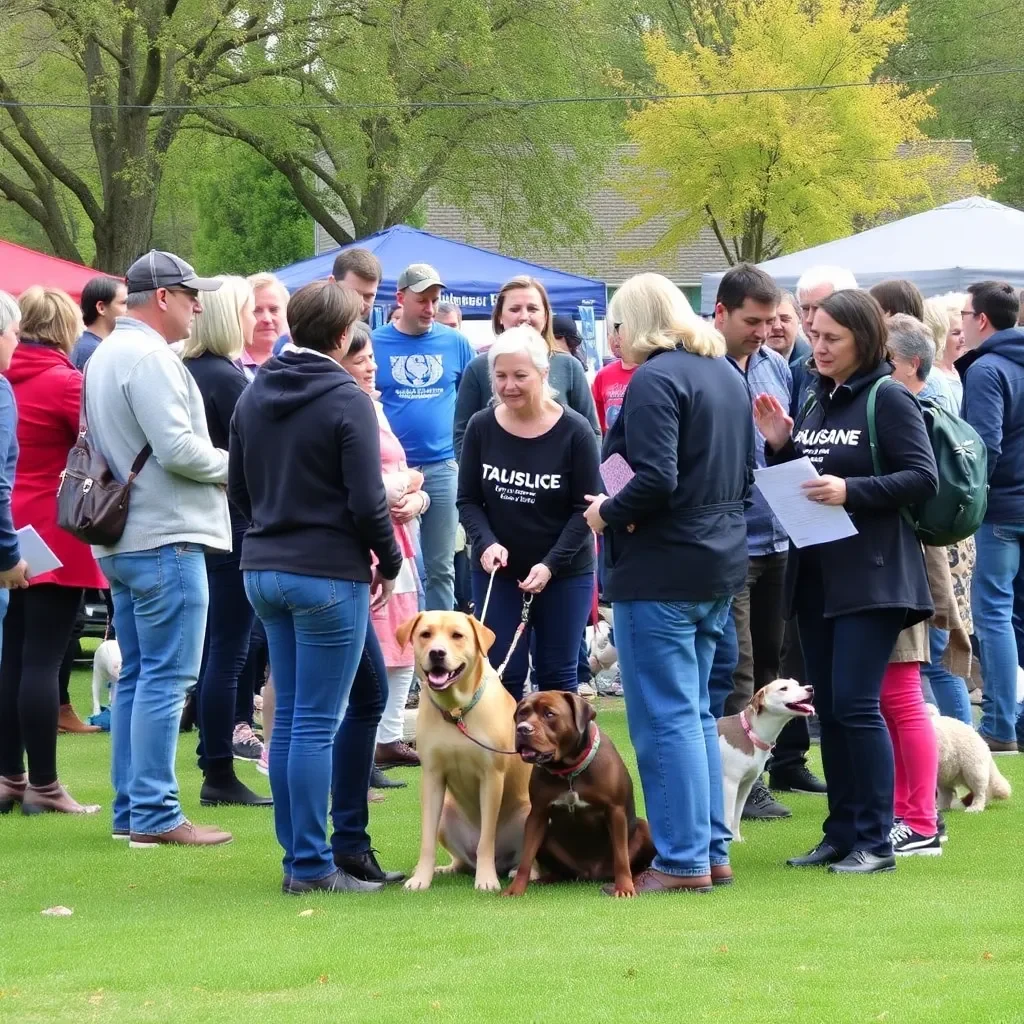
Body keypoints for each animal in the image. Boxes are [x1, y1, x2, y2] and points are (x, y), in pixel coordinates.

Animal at [395, 610, 532, 892]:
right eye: (425, 634)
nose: (437, 652)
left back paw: (519, 871)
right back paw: (448, 868)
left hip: (528, 813)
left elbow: (486, 840)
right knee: (462, 859)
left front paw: (486, 879)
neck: (457, 711)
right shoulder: (433, 776)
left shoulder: (492, 777)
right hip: (447, 815)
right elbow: (426, 840)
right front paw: (421, 878)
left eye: (457, 635)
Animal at [503, 688, 655, 897]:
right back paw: (546, 879)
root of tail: (590, 873)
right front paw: (515, 889)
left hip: (644, 827)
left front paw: (624, 888)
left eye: (549, 714)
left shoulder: (615, 811)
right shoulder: (537, 815)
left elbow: (621, 856)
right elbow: (526, 857)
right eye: (522, 713)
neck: (569, 771)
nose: (522, 729)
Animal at [720, 679, 815, 839]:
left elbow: (736, 815)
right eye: (783, 688)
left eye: (797, 684)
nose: (810, 688)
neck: (749, 732)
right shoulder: (730, 784)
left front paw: (737, 840)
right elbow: (728, 816)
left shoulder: (744, 786)